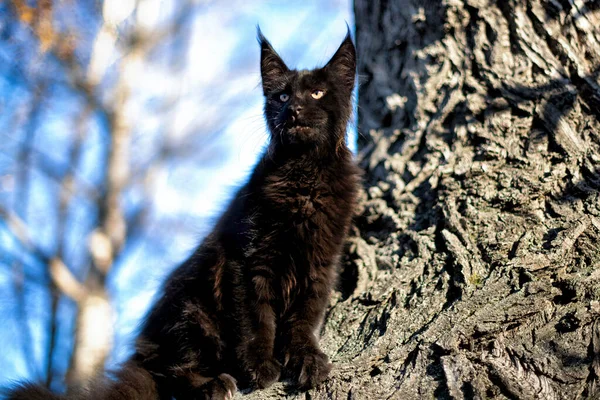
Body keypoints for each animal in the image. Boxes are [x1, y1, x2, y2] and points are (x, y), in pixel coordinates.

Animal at [7, 26, 360, 398]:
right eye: (281, 96)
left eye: (317, 93)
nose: (293, 110)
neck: (304, 175)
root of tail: (143, 350)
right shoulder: (247, 258)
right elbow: (256, 319)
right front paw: (260, 367)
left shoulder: (319, 265)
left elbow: (303, 320)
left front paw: (307, 358)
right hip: (193, 311)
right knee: (171, 371)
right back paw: (215, 384)